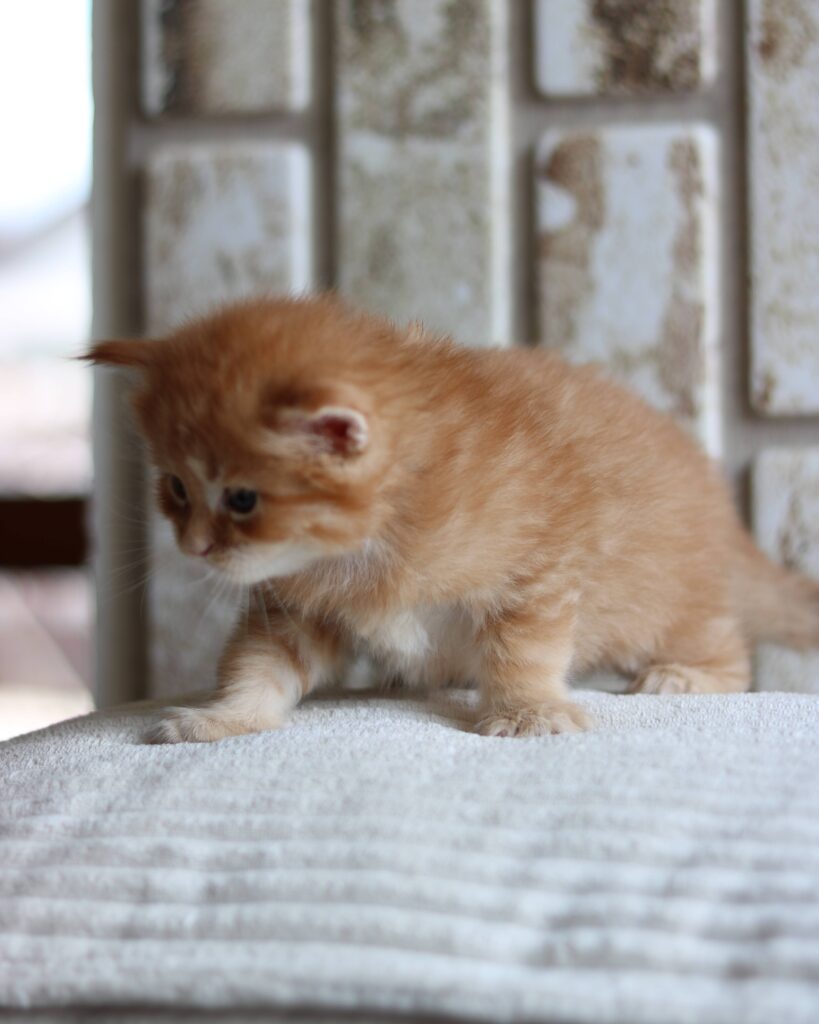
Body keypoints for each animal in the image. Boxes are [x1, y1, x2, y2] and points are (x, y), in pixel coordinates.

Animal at [85, 295, 819, 741]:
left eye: (242, 499)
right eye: (176, 487)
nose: (193, 547)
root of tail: (723, 515)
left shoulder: (540, 571)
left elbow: (523, 650)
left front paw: (527, 712)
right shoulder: (294, 610)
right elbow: (257, 666)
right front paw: (221, 719)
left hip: (660, 605)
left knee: (731, 650)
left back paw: (684, 676)